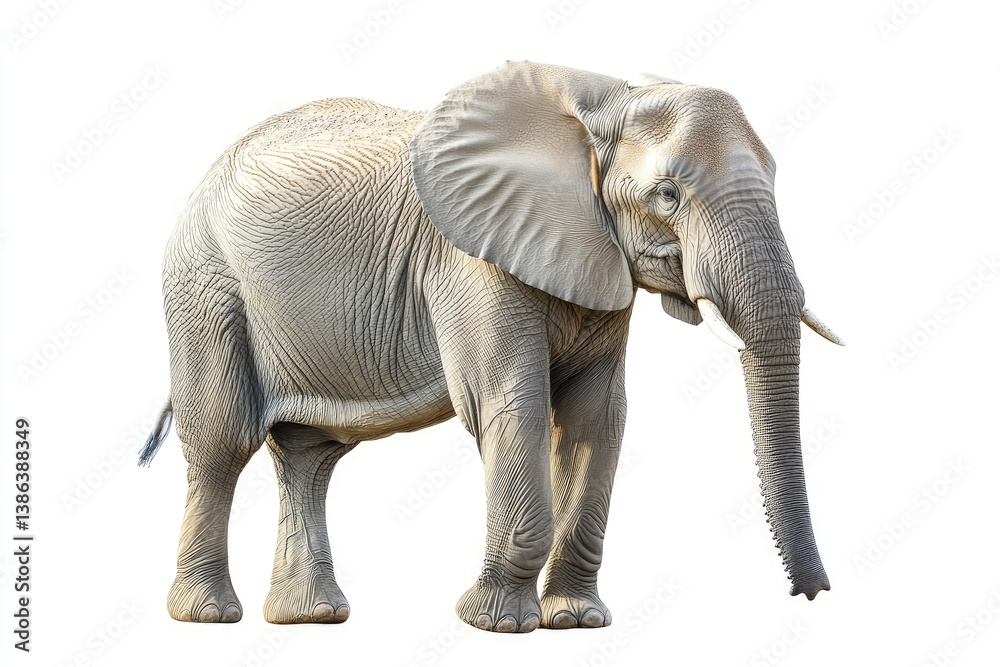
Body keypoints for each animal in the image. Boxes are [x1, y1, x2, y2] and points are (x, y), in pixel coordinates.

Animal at [140, 61, 843, 632]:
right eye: (668, 194)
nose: (812, 594)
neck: (605, 100)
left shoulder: (598, 255)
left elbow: (596, 418)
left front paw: (578, 622)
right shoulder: (472, 259)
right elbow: (510, 404)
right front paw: (498, 625)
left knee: (309, 457)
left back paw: (309, 619)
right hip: (206, 286)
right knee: (222, 444)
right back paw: (208, 616)